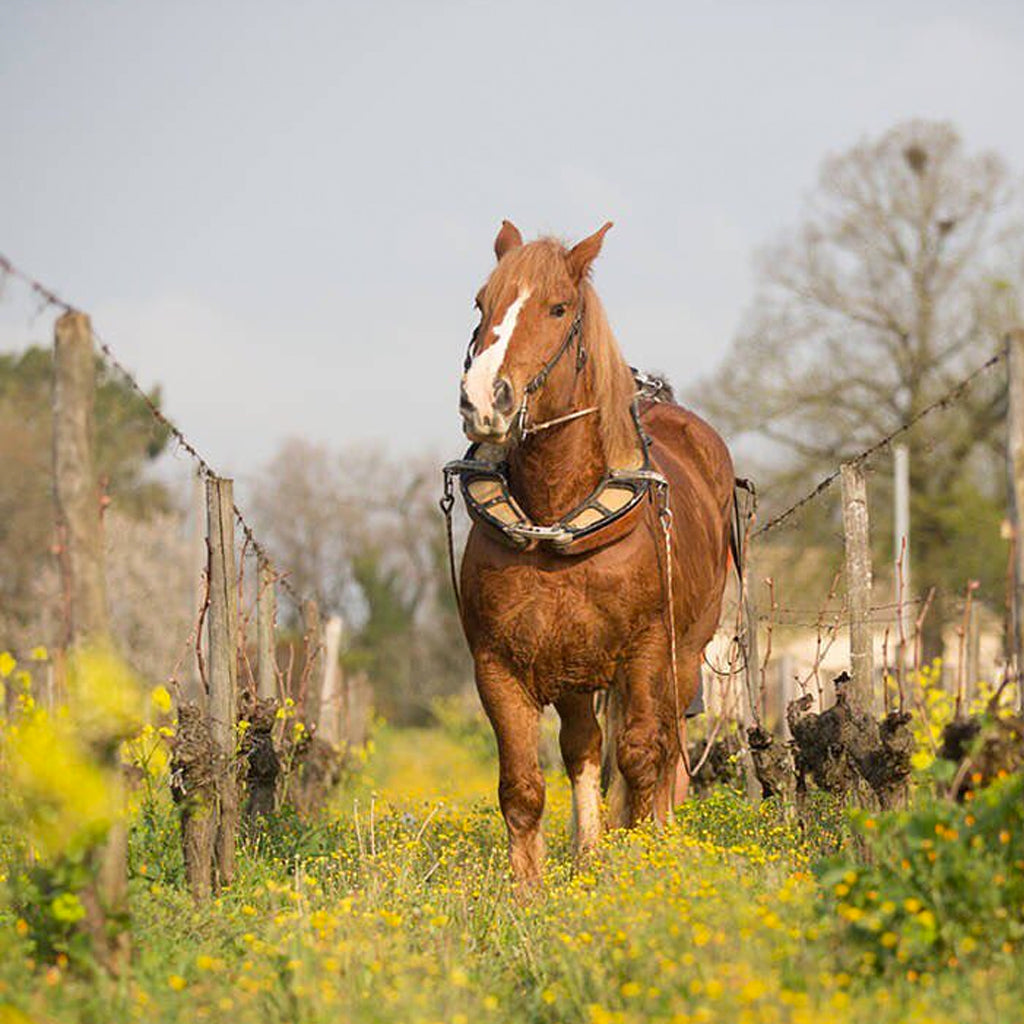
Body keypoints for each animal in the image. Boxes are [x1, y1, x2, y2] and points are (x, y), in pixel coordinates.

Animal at [452, 220, 733, 884]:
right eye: (481, 302)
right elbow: (523, 787)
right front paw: (529, 893)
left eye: (559, 308)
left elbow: (643, 757)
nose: (484, 399)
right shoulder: (498, 665)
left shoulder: (648, 652)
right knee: (583, 748)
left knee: (665, 748)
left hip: (685, 655)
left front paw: (639, 864)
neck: (556, 515)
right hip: (574, 668)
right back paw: (588, 852)